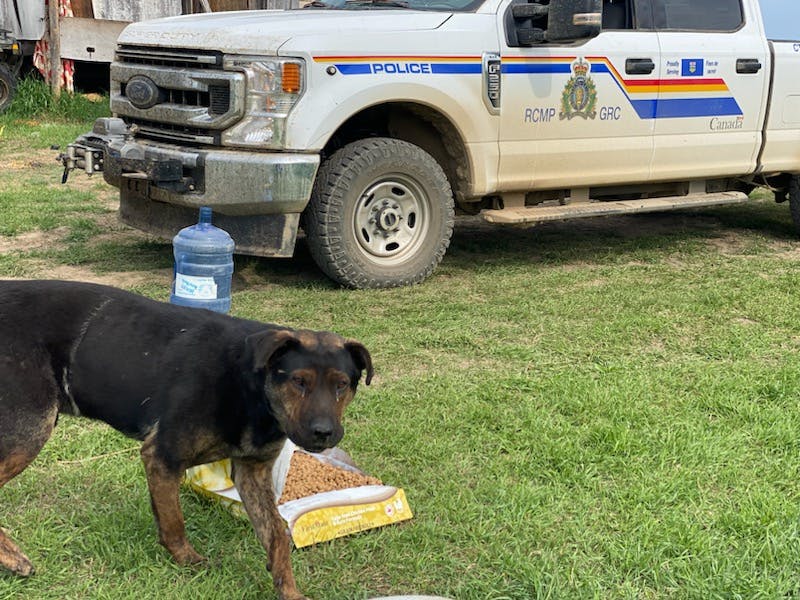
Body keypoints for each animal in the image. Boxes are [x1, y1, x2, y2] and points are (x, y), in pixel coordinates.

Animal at [0, 280, 374, 600]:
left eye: (342, 385)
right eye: (299, 381)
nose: (324, 432)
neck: (249, 387)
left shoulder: (252, 473)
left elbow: (277, 536)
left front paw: (290, 591)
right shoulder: (161, 457)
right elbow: (174, 521)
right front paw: (187, 560)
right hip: (31, 429)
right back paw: (13, 558)